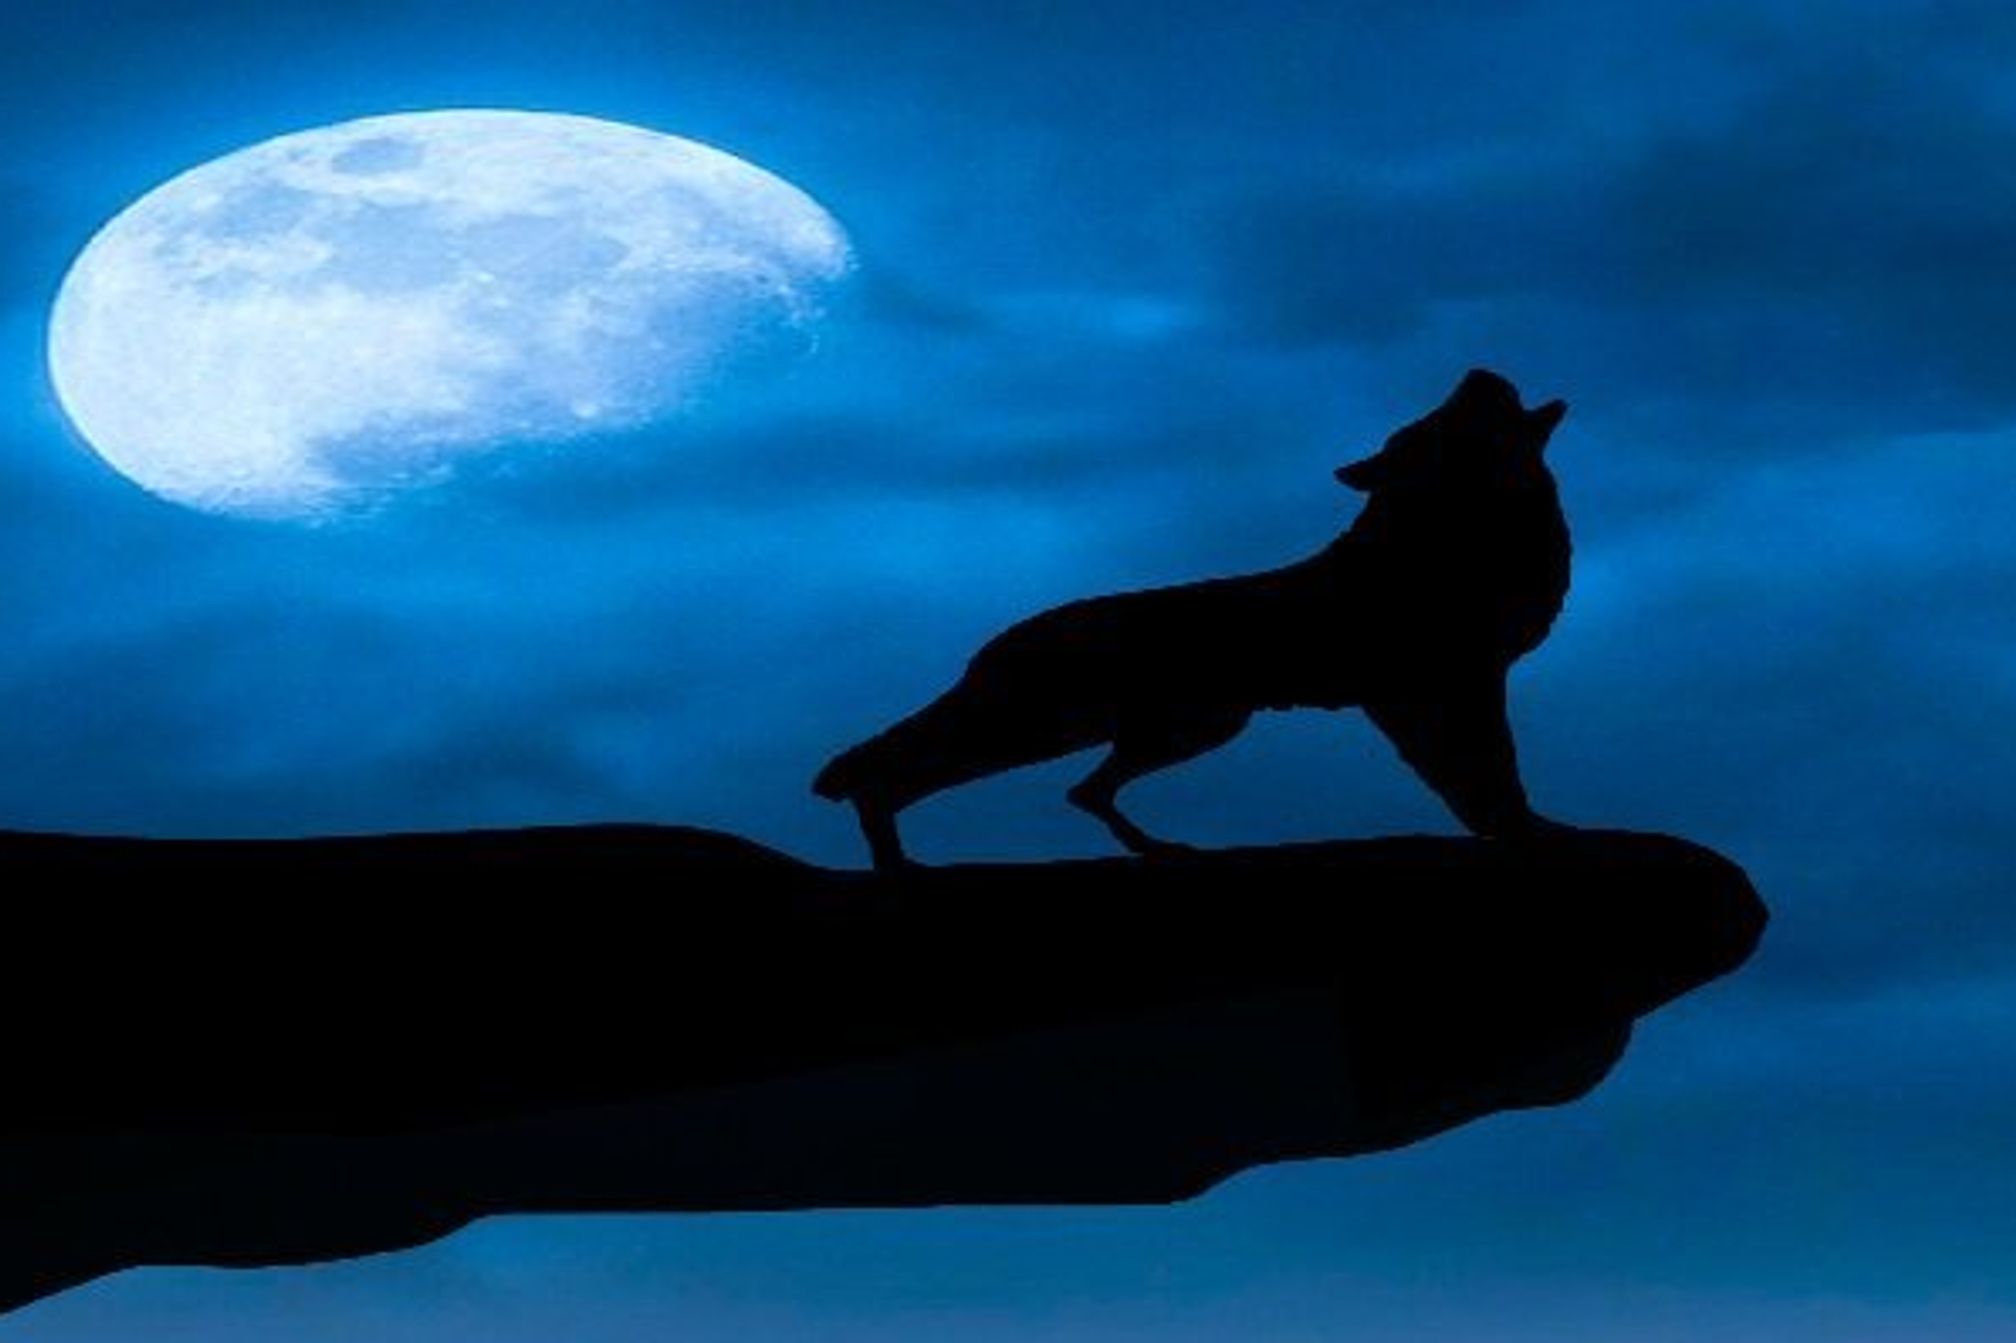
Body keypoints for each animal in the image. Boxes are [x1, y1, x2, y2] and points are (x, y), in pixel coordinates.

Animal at [814, 368, 1572, 869]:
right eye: (1441, 418)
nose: (1477, 369)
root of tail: (989, 645)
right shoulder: (1431, 689)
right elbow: (1480, 772)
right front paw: (1520, 832)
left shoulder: (1454, 684)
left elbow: (1490, 772)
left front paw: (1528, 827)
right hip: (1053, 727)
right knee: (903, 772)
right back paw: (897, 867)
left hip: (1185, 728)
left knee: (1081, 791)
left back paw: (1156, 848)